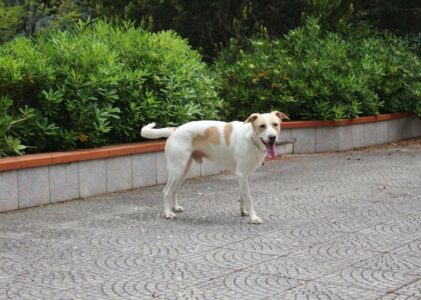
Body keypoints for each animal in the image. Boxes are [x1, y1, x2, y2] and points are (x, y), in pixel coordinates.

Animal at [141, 111, 288, 224]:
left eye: (275, 125)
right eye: (262, 126)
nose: (272, 137)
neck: (250, 138)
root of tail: (175, 129)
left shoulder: (245, 176)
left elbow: (242, 196)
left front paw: (243, 212)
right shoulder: (242, 175)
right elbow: (249, 199)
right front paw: (253, 218)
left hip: (183, 170)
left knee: (174, 190)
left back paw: (175, 207)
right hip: (177, 169)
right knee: (166, 191)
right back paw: (168, 213)